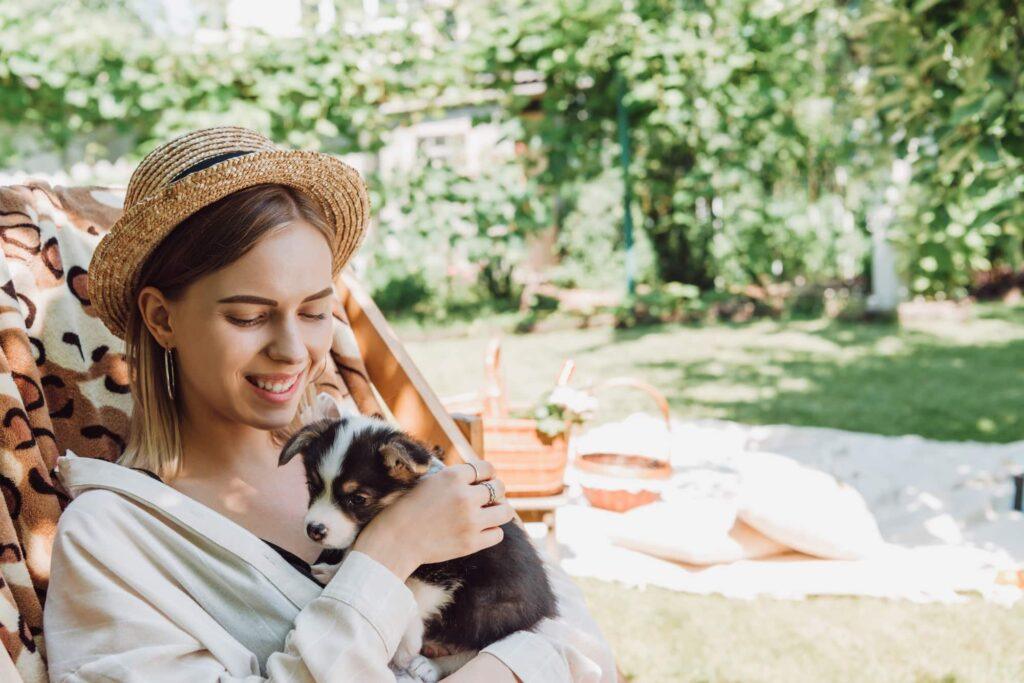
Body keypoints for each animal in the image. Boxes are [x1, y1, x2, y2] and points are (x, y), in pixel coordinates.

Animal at [276, 397, 557, 679]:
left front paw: (406, 645)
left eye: (357, 499)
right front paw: (334, 571)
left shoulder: (447, 564)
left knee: (477, 644)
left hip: (487, 605)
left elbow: (414, 592)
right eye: (312, 487)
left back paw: (430, 664)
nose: (314, 529)